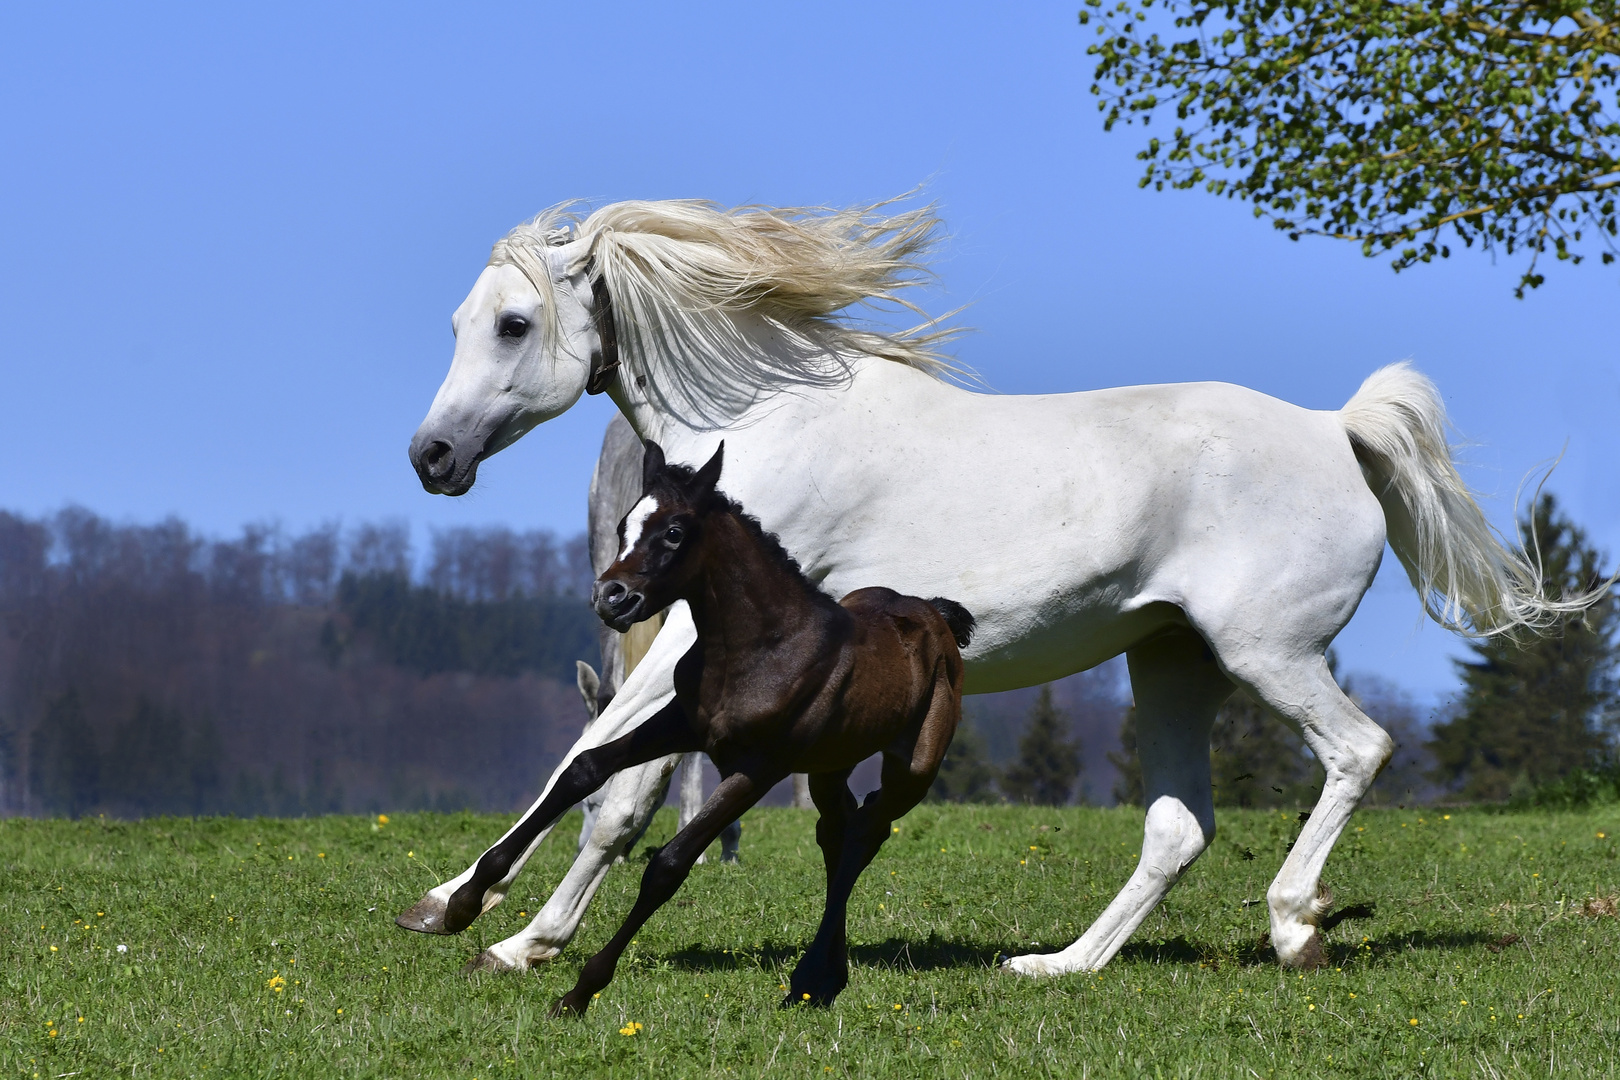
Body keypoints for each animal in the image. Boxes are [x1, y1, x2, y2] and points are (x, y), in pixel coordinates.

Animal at [534, 443, 972, 1016]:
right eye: (624, 524)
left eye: (674, 531)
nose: (611, 597)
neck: (761, 648)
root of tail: (935, 614)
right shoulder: (683, 724)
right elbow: (584, 767)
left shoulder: (757, 768)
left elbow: (669, 864)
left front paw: (581, 991)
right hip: (830, 764)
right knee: (839, 831)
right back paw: (825, 976)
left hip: (914, 767)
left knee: (868, 831)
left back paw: (811, 977)